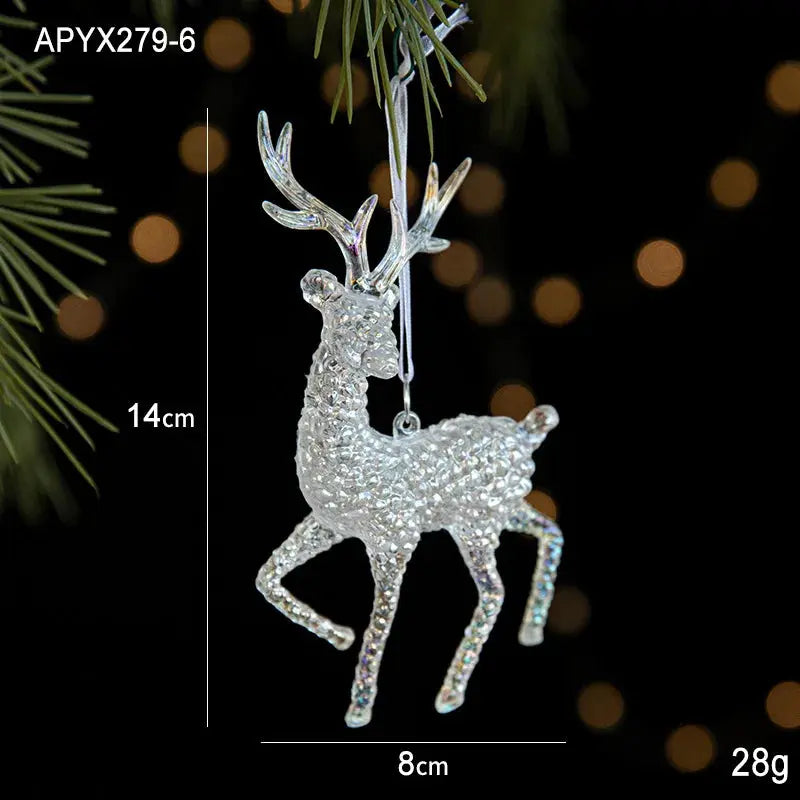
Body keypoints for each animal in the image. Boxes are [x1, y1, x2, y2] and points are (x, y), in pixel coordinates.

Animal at [255, 109, 563, 728]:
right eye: (347, 315)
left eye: (389, 317)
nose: (388, 360)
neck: (356, 458)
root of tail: (527, 430)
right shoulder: (327, 521)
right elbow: (266, 577)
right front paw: (338, 636)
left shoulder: (393, 537)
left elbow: (383, 620)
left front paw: (359, 705)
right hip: (498, 507)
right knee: (551, 528)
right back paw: (531, 631)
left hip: (475, 521)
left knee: (493, 590)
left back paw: (449, 693)